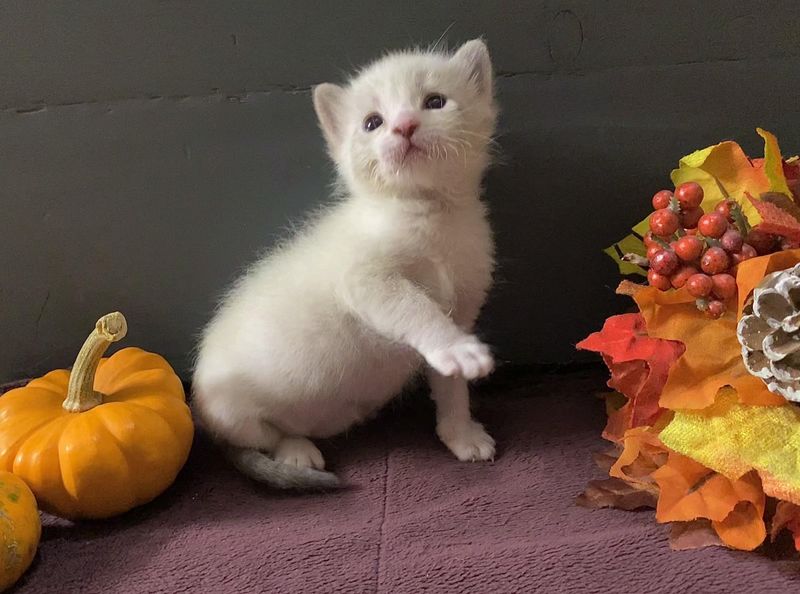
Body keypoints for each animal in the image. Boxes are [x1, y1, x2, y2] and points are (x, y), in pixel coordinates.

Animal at [191, 38, 496, 486]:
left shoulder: (462, 305)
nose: (404, 126)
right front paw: (457, 349)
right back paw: (296, 452)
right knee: (264, 436)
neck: (430, 213)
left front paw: (460, 433)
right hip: (228, 409)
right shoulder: (364, 280)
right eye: (372, 123)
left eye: (435, 101)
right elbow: (415, 308)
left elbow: (450, 385)